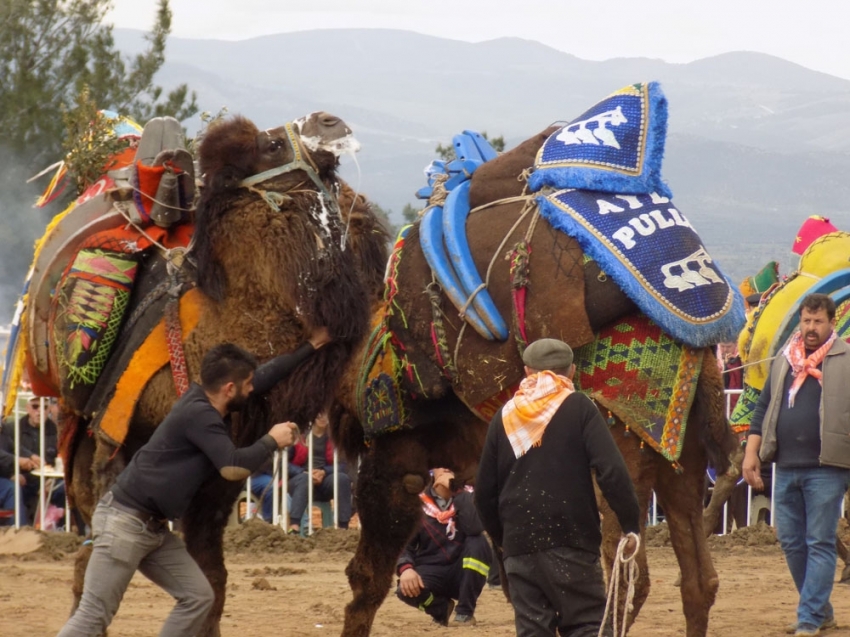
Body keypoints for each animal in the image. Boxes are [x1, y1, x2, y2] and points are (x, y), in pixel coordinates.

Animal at [1, 108, 386, 632]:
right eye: (269, 146)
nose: (329, 121)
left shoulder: (219, 479)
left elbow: (212, 576)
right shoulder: (113, 439)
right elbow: (105, 561)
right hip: (79, 441)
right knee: (86, 559)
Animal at [332, 83, 744, 636]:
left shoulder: (394, 458)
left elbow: (366, 579)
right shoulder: (480, 463)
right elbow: (508, 568)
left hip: (616, 462)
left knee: (626, 576)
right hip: (682, 460)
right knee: (699, 580)